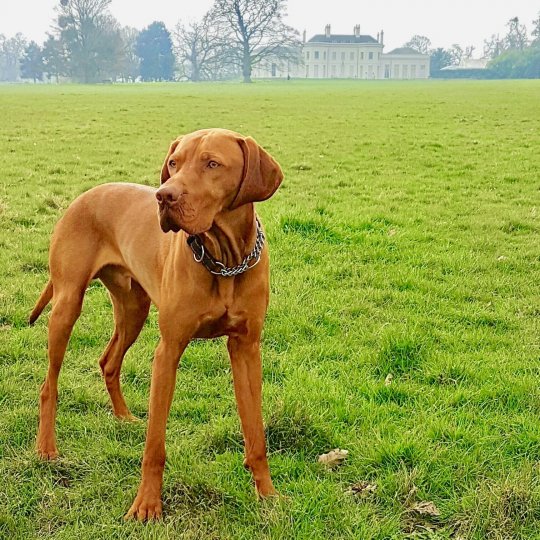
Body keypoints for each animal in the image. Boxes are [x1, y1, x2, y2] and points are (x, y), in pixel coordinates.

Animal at [29, 129, 282, 520]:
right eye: (174, 163)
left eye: (213, 164)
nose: (164, 196)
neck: (224, 262)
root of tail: (85, 195)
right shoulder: (168, 351)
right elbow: (155, 445)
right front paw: (147, 504)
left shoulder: (247, 349)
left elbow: (255, 431)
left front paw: (267, 494)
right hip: (67, 304)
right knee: (49, 384)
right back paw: (46, 447)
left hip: (134, 309)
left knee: (108, 361)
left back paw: (124, 418)